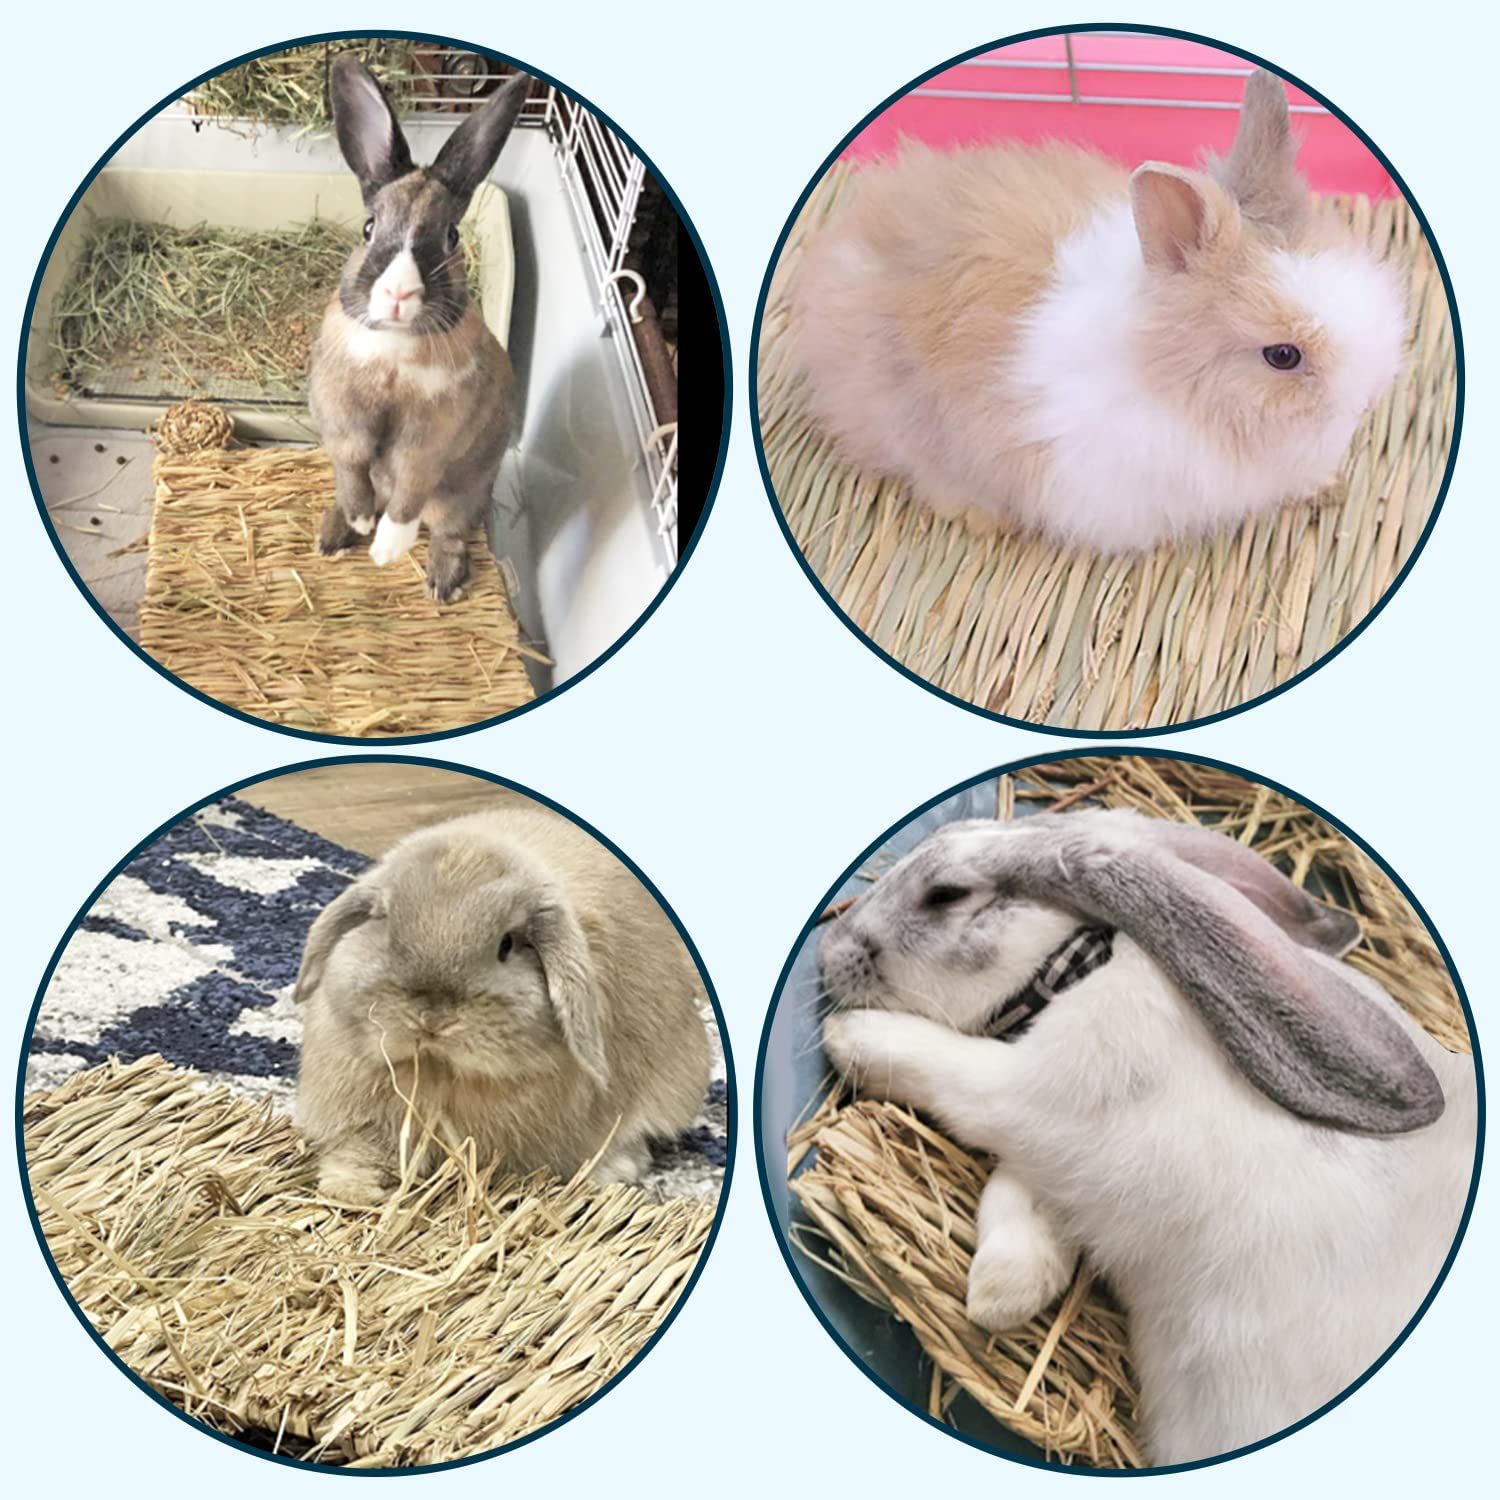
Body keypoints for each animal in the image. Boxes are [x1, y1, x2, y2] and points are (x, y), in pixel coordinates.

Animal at [293, 805, 712, 1205]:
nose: (432, 1017)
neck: (439, 1068)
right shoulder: (364, 1122)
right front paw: (353, 1192)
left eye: (507, 944)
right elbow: (359, 1155)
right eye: (384, 923)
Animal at [308, 54, 531, 602]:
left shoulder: (428, 443)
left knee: (448, 529)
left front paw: (385, 549)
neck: (393, 347)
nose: (398, 294)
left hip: (463, 494)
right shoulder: (343, 422)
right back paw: (334, 533)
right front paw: (360, 521)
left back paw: (443, 582)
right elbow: (352, 470)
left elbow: (408, 494)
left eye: (451, 236)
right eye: (368, 227)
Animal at [817, 807, 1475, 1465]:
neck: (1076, 968)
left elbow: (947, 1070)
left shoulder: (1028, 1091)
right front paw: (1006, 1291)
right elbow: (1020, 1198)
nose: (827, 955)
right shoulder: (1052, 1157)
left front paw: (850, 1034)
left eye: (945, 894)